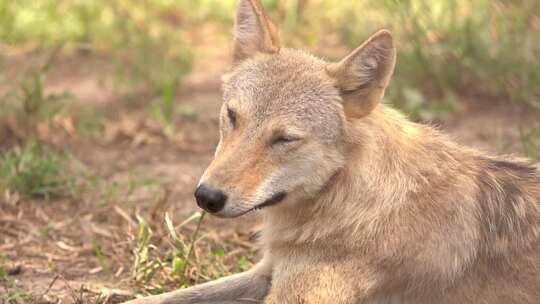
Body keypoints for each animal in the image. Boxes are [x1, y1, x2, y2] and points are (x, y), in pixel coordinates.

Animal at [126, 0, 540, 304]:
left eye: (284, 139)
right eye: (232, 117)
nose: (206, 197)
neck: (347, 199)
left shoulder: (292, 296)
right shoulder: (266, 271)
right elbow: (151, 300)